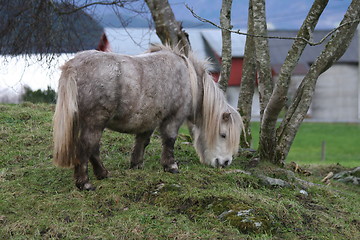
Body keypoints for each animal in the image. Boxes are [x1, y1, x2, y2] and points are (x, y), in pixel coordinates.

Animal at [53, 44, 243, 190]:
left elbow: (142, 141)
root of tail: (73, 66)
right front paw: (171, 166)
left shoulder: (149, 120)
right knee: (88, 147)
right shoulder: (174, 118)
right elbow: (169, 140)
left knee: (92, 148)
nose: (226, 162)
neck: (188, 80)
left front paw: (136, 164)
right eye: (223, 135)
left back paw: (102, 174)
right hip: (94, 122)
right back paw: (85, 183)